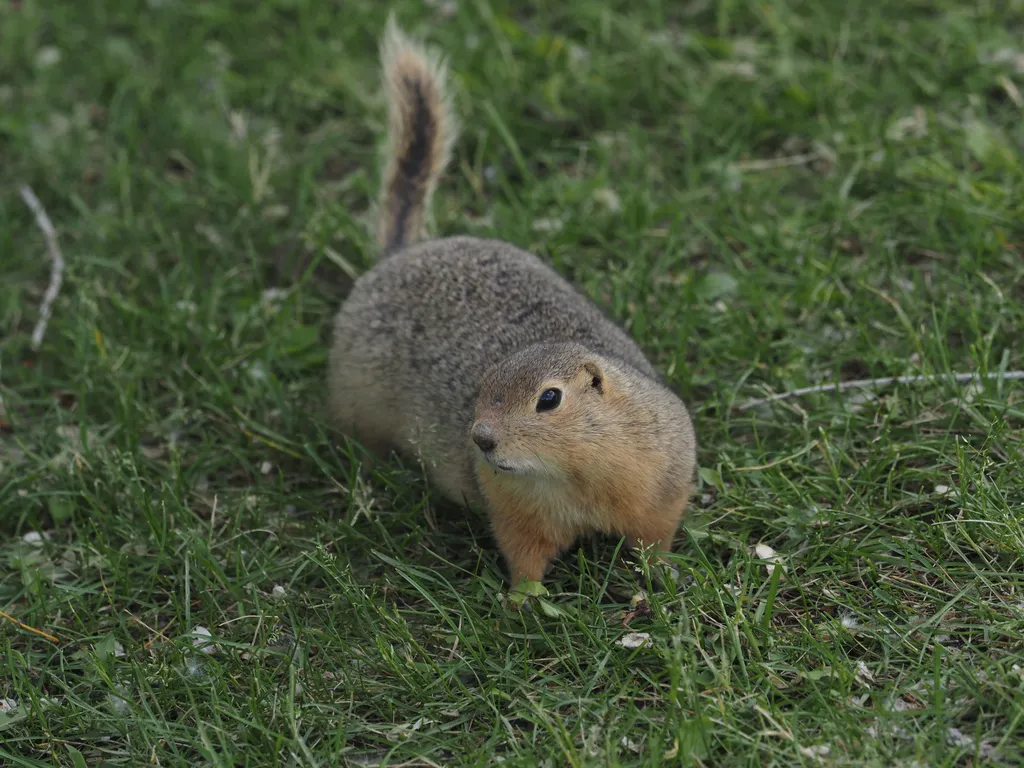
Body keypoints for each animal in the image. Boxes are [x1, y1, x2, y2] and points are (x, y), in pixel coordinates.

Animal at [327, 16, 696, 581]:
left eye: (549, 399)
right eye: (480, 387)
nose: (480, 438)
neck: (573, 473)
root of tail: (402, 253)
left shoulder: (661, 487)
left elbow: (654, 538)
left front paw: (660, 578)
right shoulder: (512, 508)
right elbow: (524, 554)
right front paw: (524, 598)